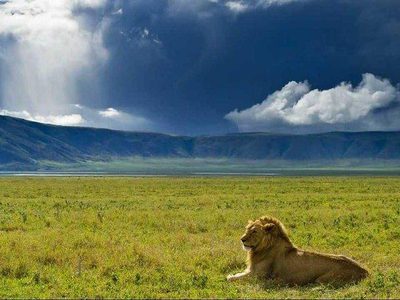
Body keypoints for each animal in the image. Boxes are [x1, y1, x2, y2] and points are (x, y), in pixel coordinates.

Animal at [227, 216, 370, 286]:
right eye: (247, 229)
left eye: (254, 231)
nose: (242, 240)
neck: (262, 248)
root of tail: (364, 271)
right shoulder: (251, 272)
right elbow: (237, 274)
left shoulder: (257, 276)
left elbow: (233, 278)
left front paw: (229, 277)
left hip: (322, 279)